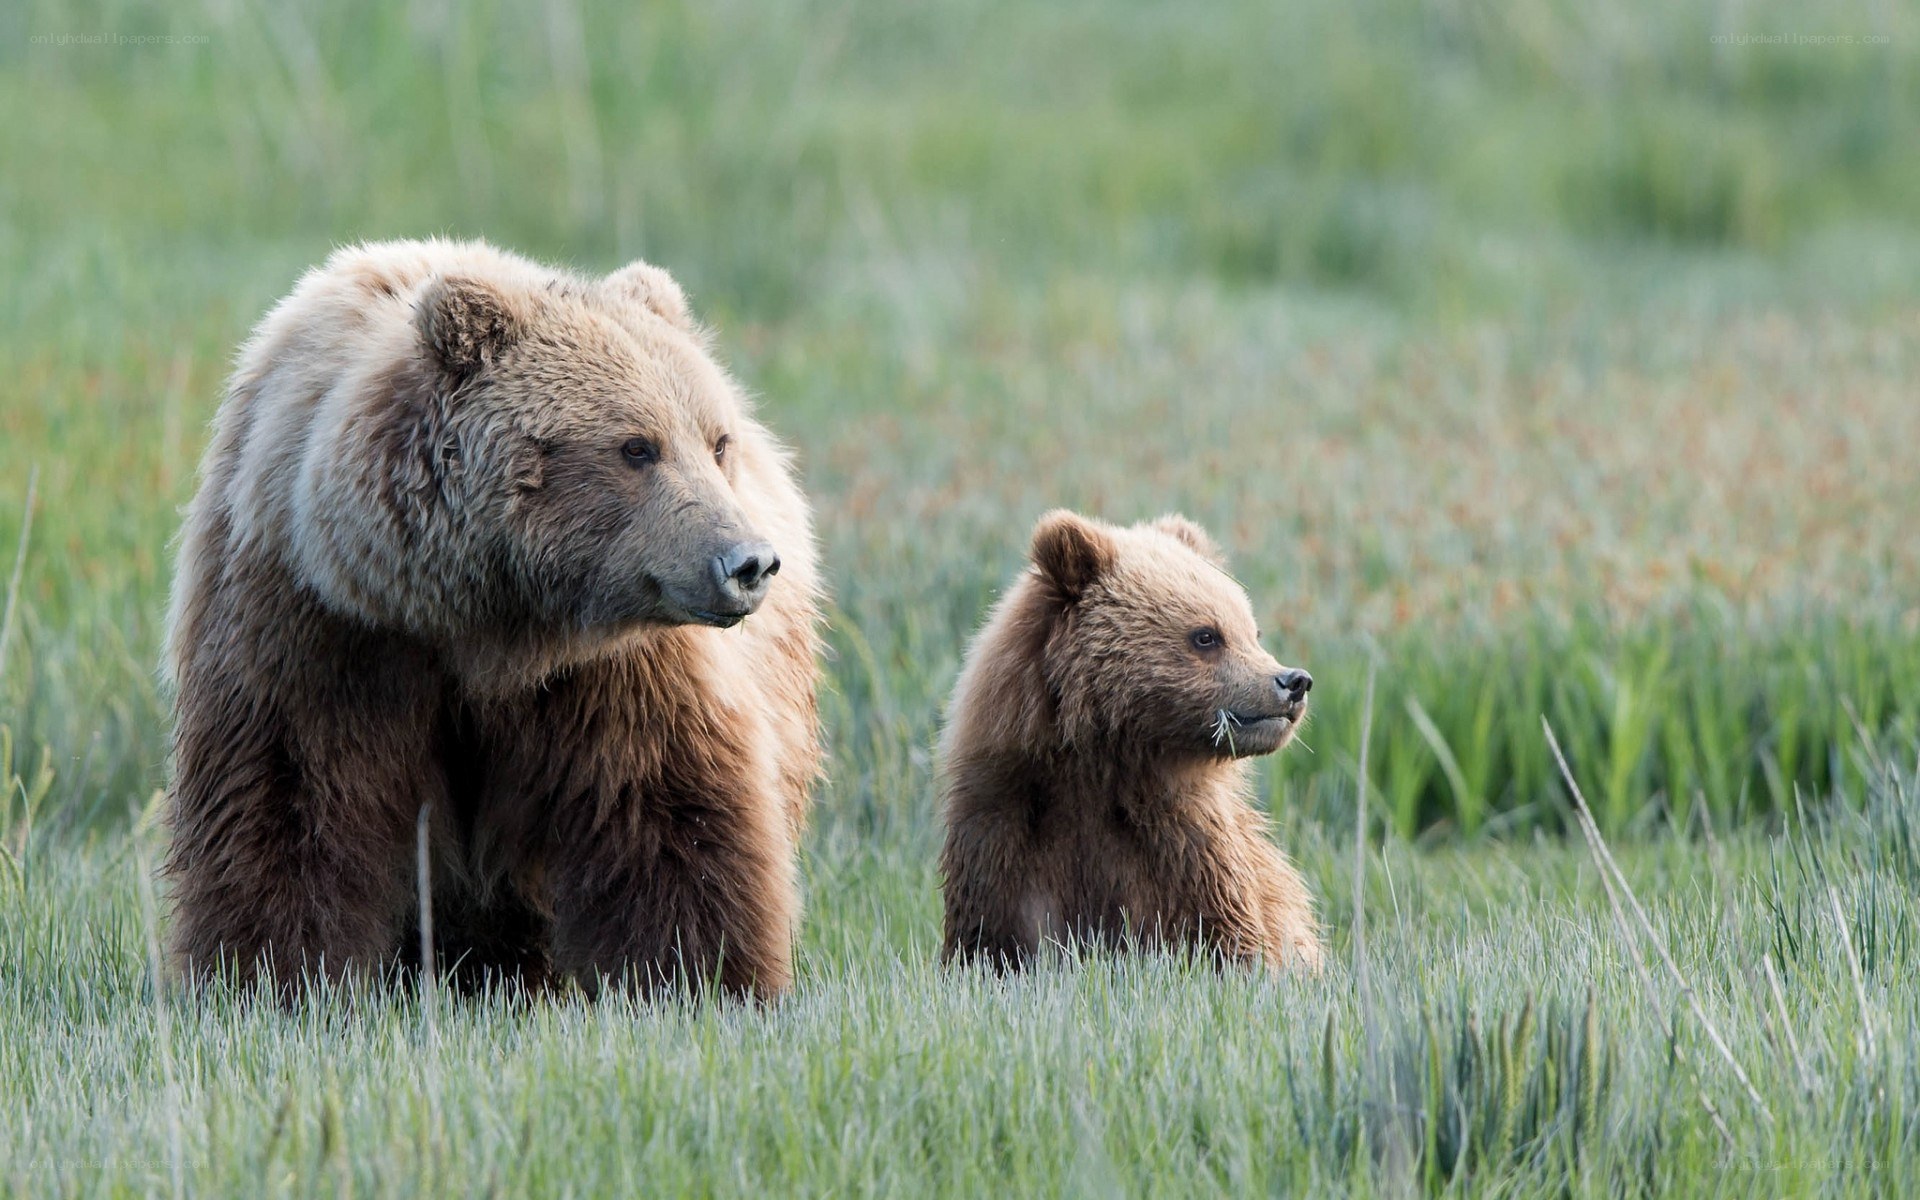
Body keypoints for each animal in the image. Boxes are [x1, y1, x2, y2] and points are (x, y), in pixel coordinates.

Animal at [162, 238, 822, 1001]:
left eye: (717, 442)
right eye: (637, 446)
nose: (747, 562)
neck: (481, 623)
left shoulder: (615, 669)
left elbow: (661, 804)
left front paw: (702, 978)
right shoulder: (319, 626)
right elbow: (291, 798)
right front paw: (269, 978)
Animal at [938, 510, 1323, 972]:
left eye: (1253, 631)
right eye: (1207, 635)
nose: (1294, 681)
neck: (1101, 764)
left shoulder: (1186, 846)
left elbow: (1228, 938)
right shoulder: (1003, 828)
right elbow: (991, 943)